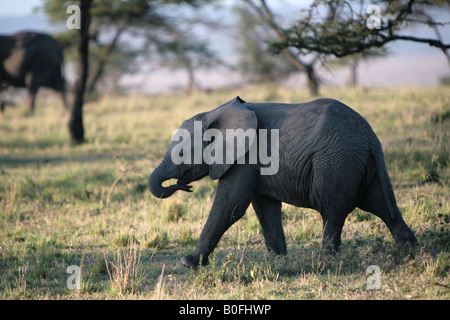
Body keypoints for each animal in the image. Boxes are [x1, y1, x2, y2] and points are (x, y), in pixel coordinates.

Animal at [149, 96, 418, 268]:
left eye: (181, 154)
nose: (183, 185)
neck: (213, 112)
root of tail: (371, 138)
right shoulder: (255, 162)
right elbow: (264, 206)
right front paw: (279, 259)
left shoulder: (246, 155)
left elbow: (230, 206)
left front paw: (188, 263)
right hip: (360, 165)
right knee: (382, 206)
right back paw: (411, 252)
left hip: (337, 163)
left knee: (333, 210)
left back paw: (325, 260)